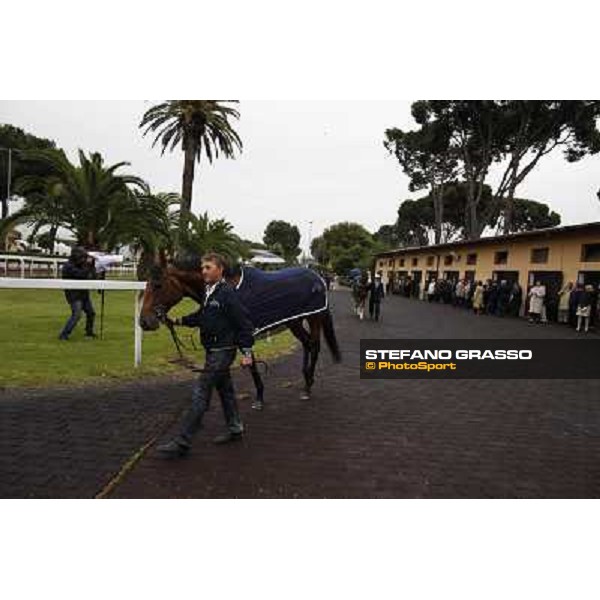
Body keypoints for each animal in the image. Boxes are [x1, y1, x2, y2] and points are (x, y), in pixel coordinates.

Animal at [138, 260, 340, 406]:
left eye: (157, 285)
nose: (144, 321)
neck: (225, 289)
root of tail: (318, 277)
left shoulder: (244, 334)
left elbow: (251, 366)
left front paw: (259, 398)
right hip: (295, 321)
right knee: (307, 343)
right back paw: (306, 379)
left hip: (314, 317)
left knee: (314, 345)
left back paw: (307, 387)